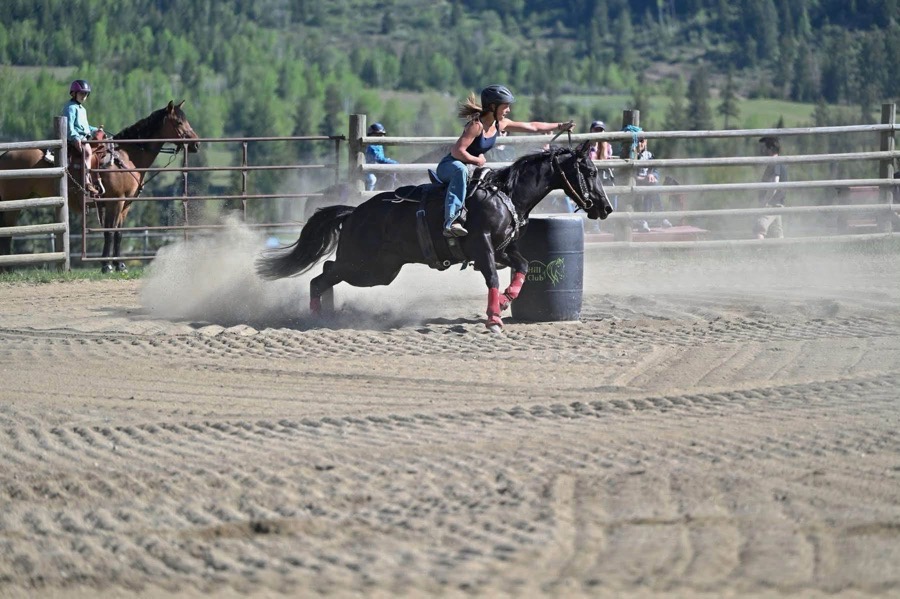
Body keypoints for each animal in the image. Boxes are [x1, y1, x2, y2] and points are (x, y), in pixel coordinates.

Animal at [0, 101, 200, 272]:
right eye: (179, 122)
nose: (196, 143)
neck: (126, 157)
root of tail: (6, 155)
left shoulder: (125, 204)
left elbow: (118, 234)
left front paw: (119, 265)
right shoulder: (115, 202)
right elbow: (110, 232)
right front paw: (106, 266)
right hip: (13, 202)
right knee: (8, 231)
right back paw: (8, 269)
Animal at [256, 144, 613, 332]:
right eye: (591, 171)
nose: (606, 207)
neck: (505, 194)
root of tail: (354, 212)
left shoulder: (501, 250)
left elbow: (523, 266)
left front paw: (505, 301)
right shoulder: (482, 246)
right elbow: (493, 277)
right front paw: (494, 317)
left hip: (378, 270)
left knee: (327, 272)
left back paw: (328, 315)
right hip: (362, 266)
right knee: (321, 276)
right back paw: (317, 317)